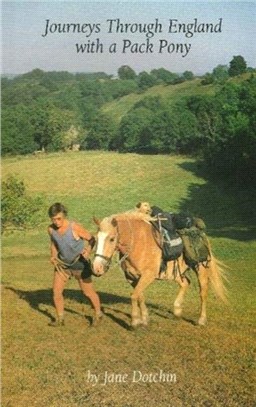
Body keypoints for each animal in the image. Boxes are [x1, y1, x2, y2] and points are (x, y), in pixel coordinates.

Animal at [92, 212, 228, 330]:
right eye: (96, 239)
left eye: (112, 239)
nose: (97, 268)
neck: (138, 243)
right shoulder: (132, 277)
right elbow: (140, 296)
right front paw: (144, 319)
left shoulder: (147, 276)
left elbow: (134, 296)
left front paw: (135, 322)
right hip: (176, 273)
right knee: (185, 283)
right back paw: (177, 310)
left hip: (200, 268)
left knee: (203, 292)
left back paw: (201, 320)